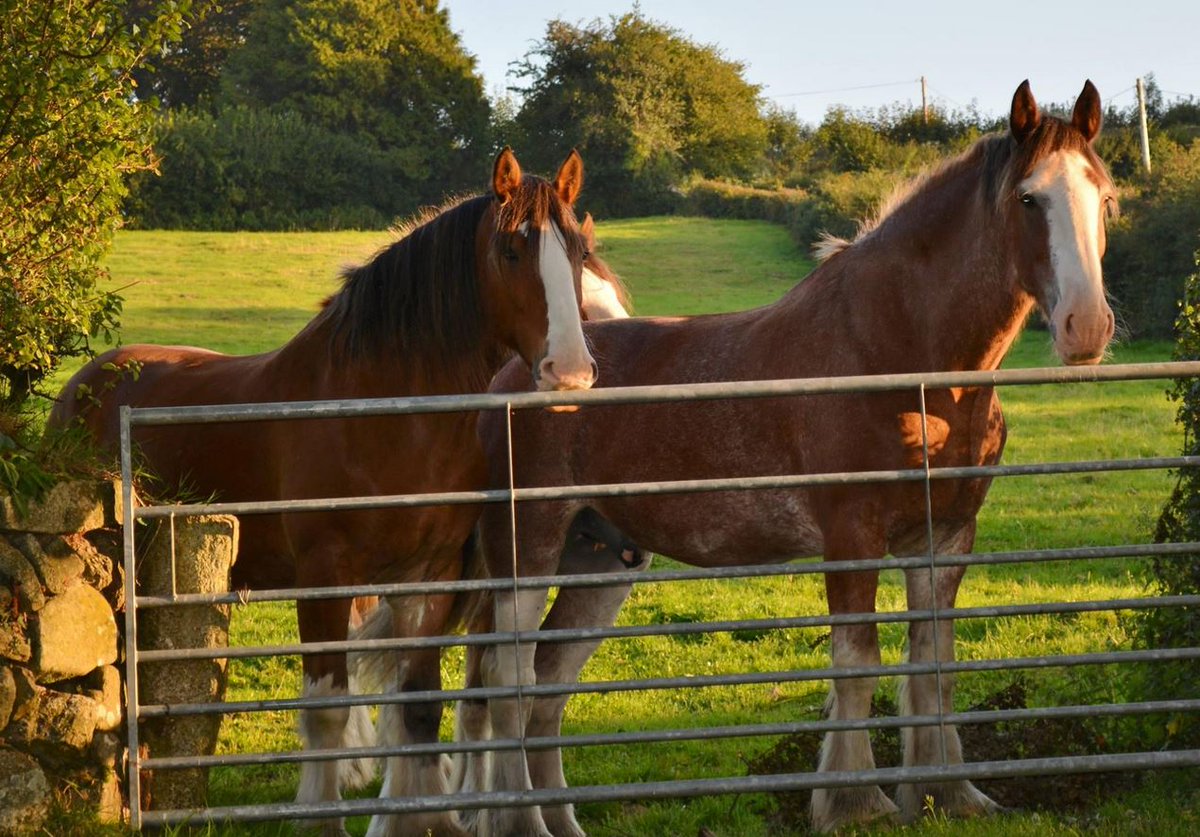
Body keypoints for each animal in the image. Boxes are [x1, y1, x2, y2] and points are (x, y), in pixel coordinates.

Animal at [51, 147, 599, 837]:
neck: (383, 414)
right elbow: (327, 707)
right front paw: (323, 815)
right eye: (511, 250)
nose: (569, 371)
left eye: (578, 251)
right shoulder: (324, 577)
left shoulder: (430, 577)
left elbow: (417, 707)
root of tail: (83, 384)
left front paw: (427, 818)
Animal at [470, 81, 1117, 836]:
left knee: (548, 682)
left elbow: (934, 664)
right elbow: (858, 664)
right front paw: (855, 802)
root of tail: (518, 375)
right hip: (528, 547)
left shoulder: (946, 536)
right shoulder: (852, 534)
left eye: (1105, 197)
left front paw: (949, 793)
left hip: (598, 561)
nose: (1086, 327)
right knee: (507, 682)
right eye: (1028, 199)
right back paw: (518, 821)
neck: (903, 358)